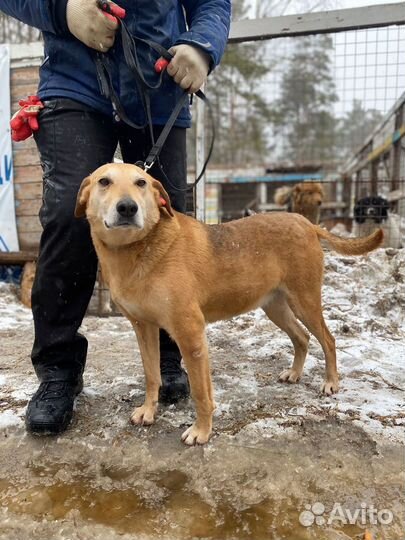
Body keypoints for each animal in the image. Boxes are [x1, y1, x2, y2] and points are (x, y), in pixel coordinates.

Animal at [76, 162, 382, 446]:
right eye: (104, 181)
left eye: (141, 182)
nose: (128, 208)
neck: (139, 248)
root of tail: (307, 223)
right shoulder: (144, 327)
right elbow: (152, 375)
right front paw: (148, 411)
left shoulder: (190, 333)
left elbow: (201, 392)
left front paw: (201, 431)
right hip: (275, 306)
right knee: (302, 337)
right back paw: (295, 373)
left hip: (304, 301)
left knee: (328, 339)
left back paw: (330, 382)